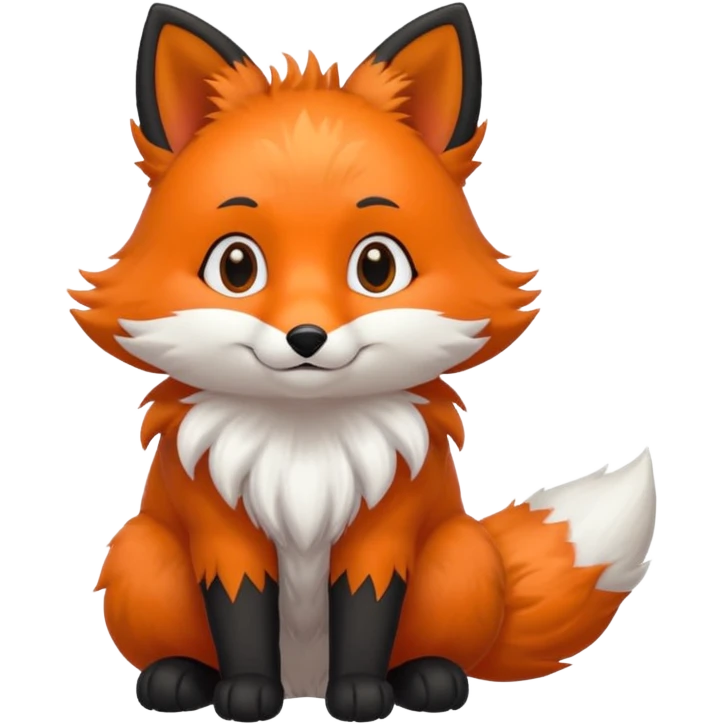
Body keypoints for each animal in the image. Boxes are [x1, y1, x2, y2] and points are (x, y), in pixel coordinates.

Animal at [70, 2, 658, 722]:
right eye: (236, 267)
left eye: (376, 266)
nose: (306, 337)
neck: (304, 442)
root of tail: (304, 683)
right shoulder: (221, 528)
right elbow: (240, 614)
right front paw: (246, 694)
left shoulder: (386, 527)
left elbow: (367, 612)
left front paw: (360, 695)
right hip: (139, 551)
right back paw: (177, 678)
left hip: (459, 556)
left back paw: (428, 678)